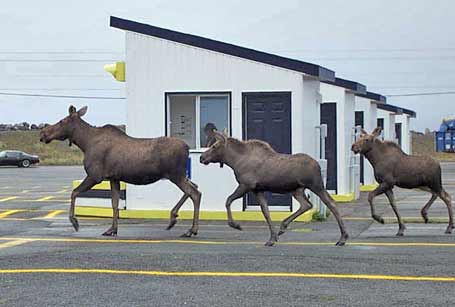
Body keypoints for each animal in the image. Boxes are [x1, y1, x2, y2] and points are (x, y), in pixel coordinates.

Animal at [39, 106, 201, 238]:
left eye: (61, 120)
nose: (43, 133)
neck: (84, 143)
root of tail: (187, 148)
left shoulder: (95, 176)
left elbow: (74, 192)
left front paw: (74, 222)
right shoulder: (113, 178)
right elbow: (114, 204)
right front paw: (112, 230)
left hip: (175, 175)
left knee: (195, 193)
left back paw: (190, 229)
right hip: (180, 175)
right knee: (195, 187)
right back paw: (175, 218)